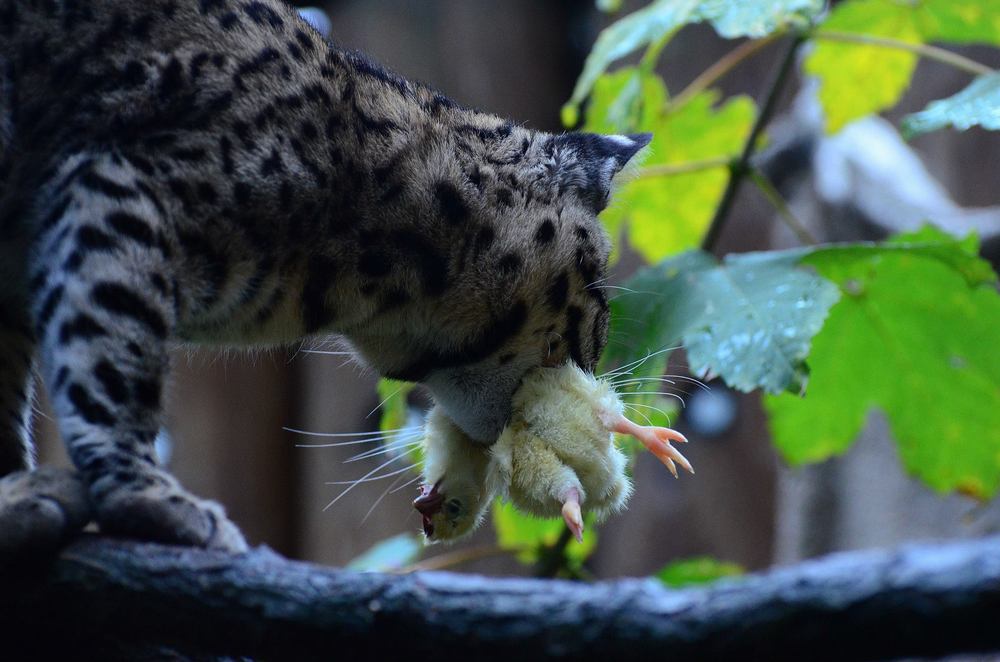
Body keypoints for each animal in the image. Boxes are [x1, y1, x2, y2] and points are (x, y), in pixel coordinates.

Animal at [0, 0, 648, 556]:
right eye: (598, 304)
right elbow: (112, 358)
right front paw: (152, 499)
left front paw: (17, 496)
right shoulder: (121, 192)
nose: (591, 376)